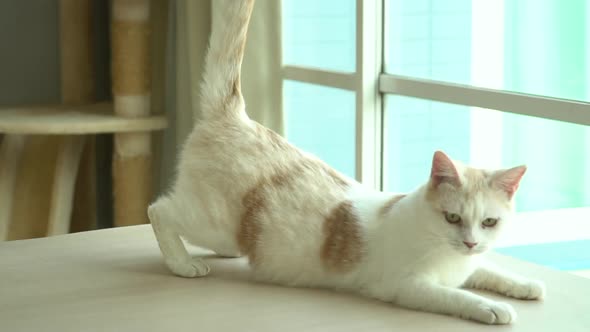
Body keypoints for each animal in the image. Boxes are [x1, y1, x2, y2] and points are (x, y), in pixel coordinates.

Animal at [150, 0, 548, 322]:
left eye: (489, 222)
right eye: (452, 217)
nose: (469, 242)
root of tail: (235, 116)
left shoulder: (471, 263)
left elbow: (490, 269)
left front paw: (525, 284)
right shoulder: (407, 286)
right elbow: (458, 297)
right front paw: (491, 307)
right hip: (211, 218)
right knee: (159, 210)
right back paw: (183, 263)